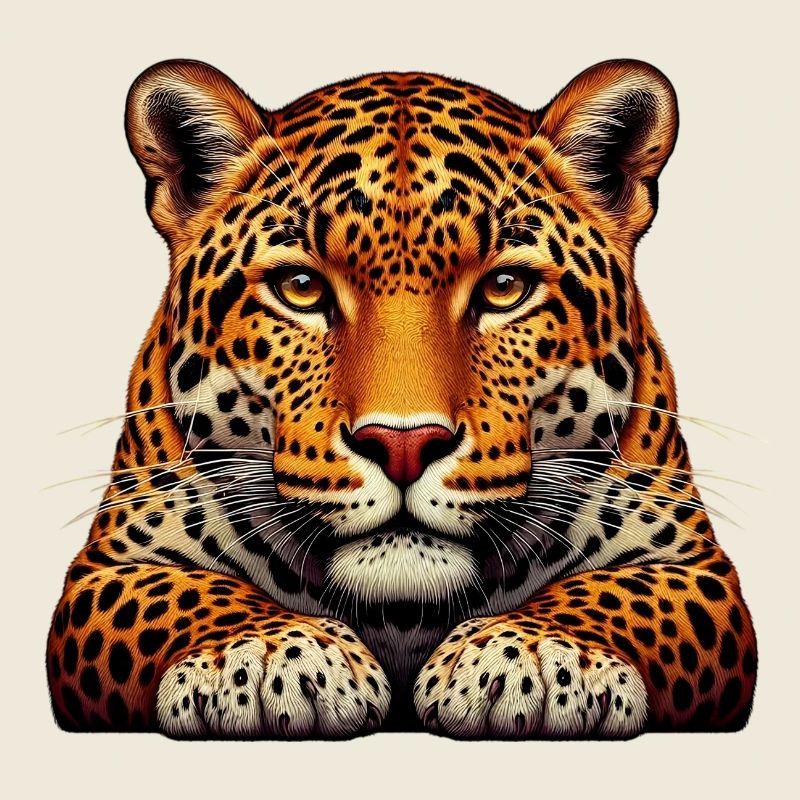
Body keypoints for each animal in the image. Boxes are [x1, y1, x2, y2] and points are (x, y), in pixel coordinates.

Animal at [46, 58, 757, 738]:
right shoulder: (110, 566)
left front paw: (535, 655)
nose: (405, 445)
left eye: (505, 287)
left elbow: (619, 593)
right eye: (301, 287)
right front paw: (265, 655)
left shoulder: (693, 565)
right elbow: (184, 593)